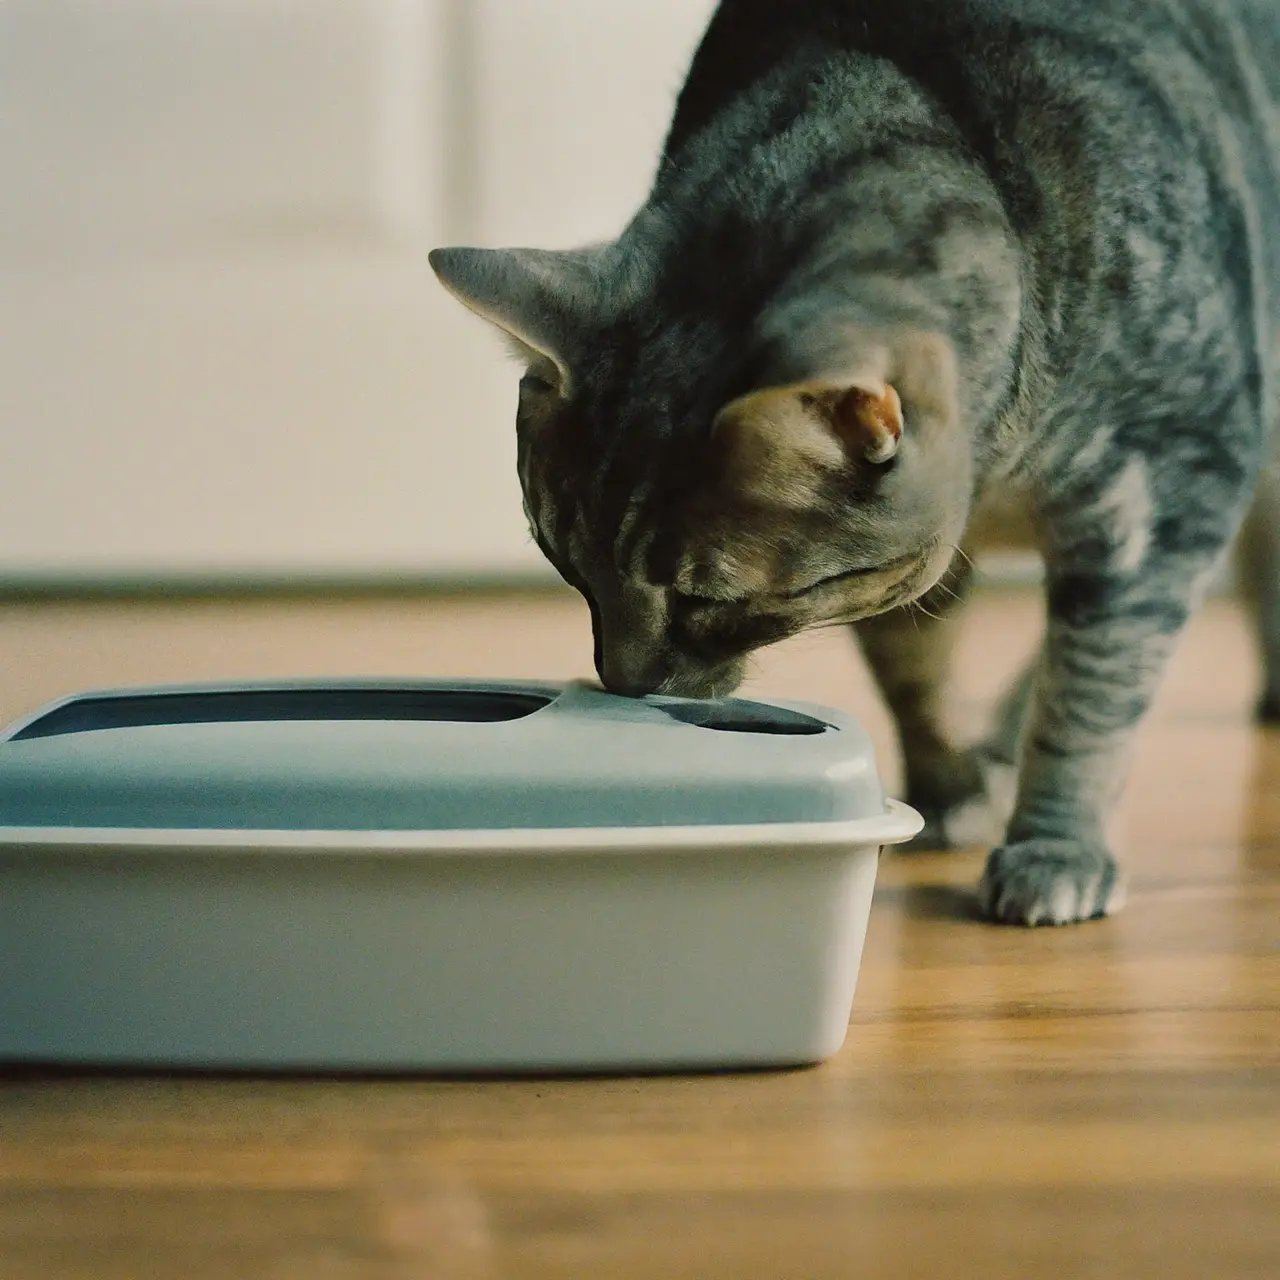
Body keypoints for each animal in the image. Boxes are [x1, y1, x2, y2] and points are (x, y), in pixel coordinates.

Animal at [430, 0, 1280, 926]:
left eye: (704, 601)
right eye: (567, 568)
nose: (623, 683)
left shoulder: (1163, 492)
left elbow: (1093, 691)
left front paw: (1055, 846)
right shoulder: (911, 572)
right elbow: (917, 669)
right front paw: (948, 791)